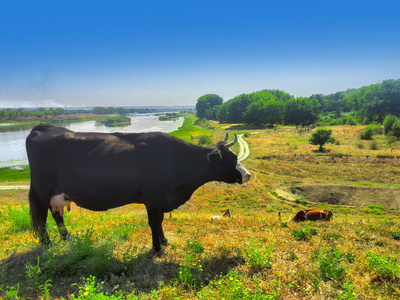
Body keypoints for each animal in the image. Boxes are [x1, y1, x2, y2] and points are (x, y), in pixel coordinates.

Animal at [25, 123, 250, 254]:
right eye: (231, 159)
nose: (247, 174)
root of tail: (42, 127)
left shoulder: (160, 200)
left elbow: (160, 222)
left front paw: (164, 241)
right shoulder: (153, 199)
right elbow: (154, 222)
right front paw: (157, 248)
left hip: (58, 195)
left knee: (57, 215)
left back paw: (68, 239)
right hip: (42, 192)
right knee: (42, 219)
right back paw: (47, 245)